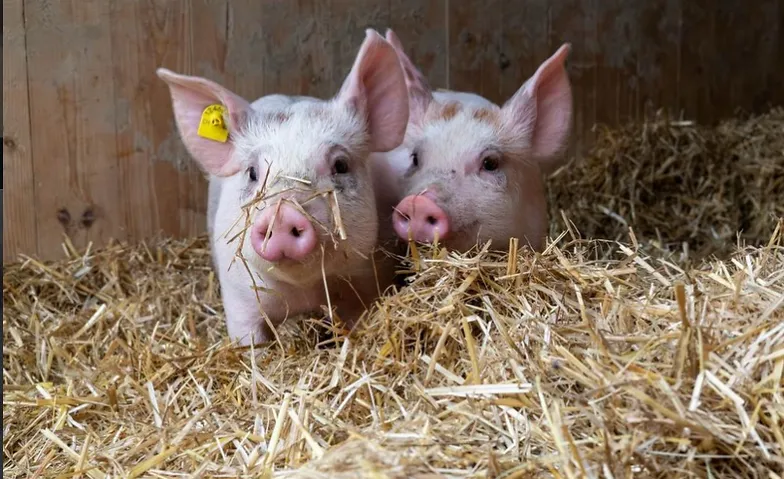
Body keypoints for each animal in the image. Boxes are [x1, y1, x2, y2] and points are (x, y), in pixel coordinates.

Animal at [156, 29, 410, 346]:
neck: (305, 293)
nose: (283, 211)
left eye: (340, 165)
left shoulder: (368, 283)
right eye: (253, 173)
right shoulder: (239, 299)